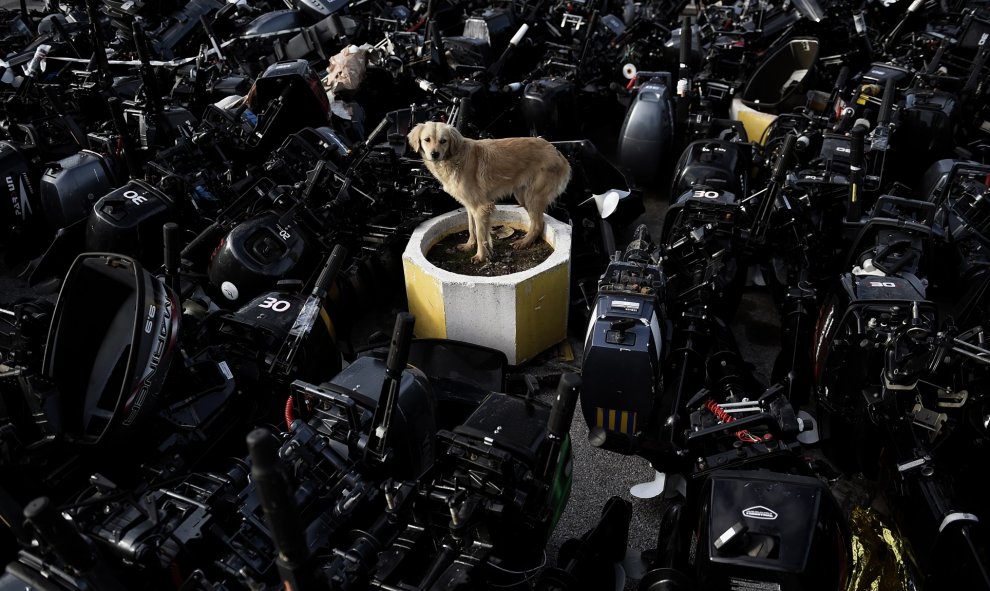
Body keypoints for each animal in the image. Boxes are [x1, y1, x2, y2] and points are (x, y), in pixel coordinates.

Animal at [404, 122, 572, 264]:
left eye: (443, 141)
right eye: (427, 140)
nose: (434, 154)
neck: (454, 158)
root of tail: (557, 151)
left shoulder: (481, 207)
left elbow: (480, 234)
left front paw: (480, 256)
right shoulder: (470, 206)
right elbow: (471, 228)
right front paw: (469, 245)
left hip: (533, 196)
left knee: (538, 223)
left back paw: (524, 242)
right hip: (522, 195)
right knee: (538, 221)